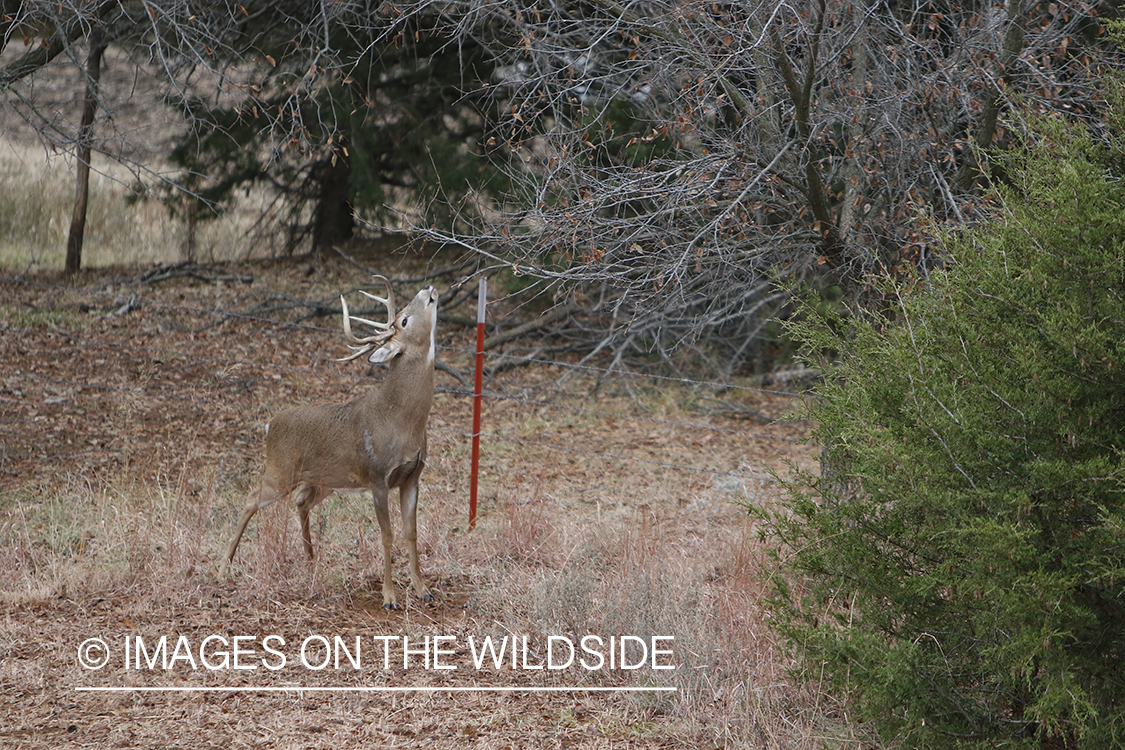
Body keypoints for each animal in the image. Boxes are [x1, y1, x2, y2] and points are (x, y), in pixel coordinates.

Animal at [217, 275, 436, 611]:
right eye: (404, 319)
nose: (427, 288)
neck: (400, 420)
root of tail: (271, 423)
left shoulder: (413, 476)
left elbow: (411, 532)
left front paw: (422, 588)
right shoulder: (378, 477)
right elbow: (387, 535)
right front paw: (389, 597)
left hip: (325, 480)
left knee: (300, 501)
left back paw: (311, 559)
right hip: (279, 471)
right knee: (250, 499)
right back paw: (222, 567)